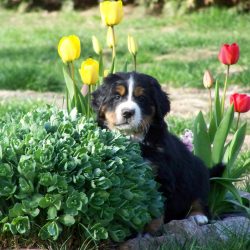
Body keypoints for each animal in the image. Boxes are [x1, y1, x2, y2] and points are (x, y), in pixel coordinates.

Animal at [91, 71, 224, 231]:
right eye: (116, 97)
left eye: (141, 98)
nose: (127, 112)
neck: (132, 138)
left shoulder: (160, 176)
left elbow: (156, 206)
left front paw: (153, 230)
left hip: (198, 173)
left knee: (199, 198)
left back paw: (198, 216)